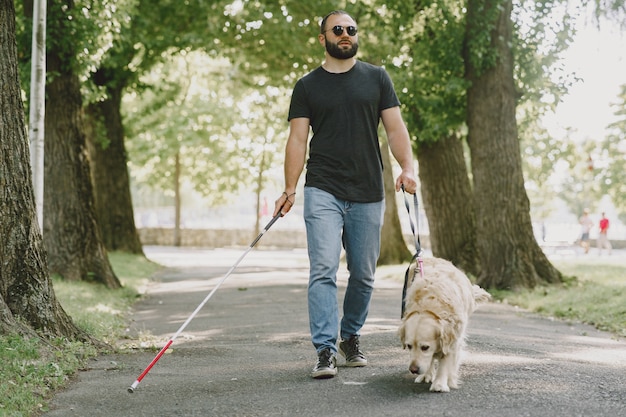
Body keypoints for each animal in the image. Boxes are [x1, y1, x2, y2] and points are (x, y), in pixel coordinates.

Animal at [398, 255, 490, 392]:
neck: (429, 304)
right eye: (409, 346)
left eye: (425, 347)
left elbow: (445, 362)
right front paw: (426, 375)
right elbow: (430, 359)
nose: (413, 370)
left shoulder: (453, 338)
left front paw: (440, 383)